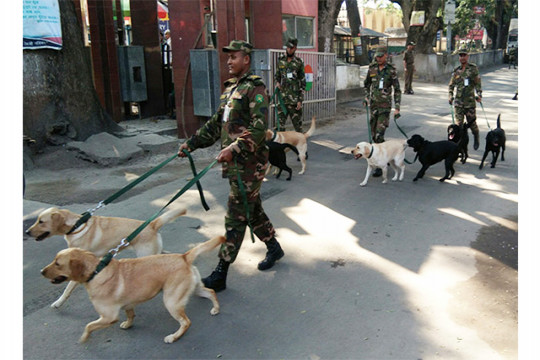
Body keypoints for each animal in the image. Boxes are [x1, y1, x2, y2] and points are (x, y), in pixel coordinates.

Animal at [26, 207, 186, 308]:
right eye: (37, 220)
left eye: (41, 221)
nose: (26, 232)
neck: (77, 226)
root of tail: (152, 224)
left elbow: (67, 288)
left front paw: (58, 302)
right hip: (155, 252)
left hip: (147, 255)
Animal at [41, 236, 225, 344]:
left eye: (58, 263)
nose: (41, 271)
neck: (97, 270)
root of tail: (184, 257)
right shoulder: (128, 305)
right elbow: (130, 315)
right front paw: (128, 324)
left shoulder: (108, 316)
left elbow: (89, 325)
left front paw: (84, 338)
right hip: (192, 289)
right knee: (211, 292)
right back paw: (216, 309)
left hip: (171, 301)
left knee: (186, 322)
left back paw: (173, 337)